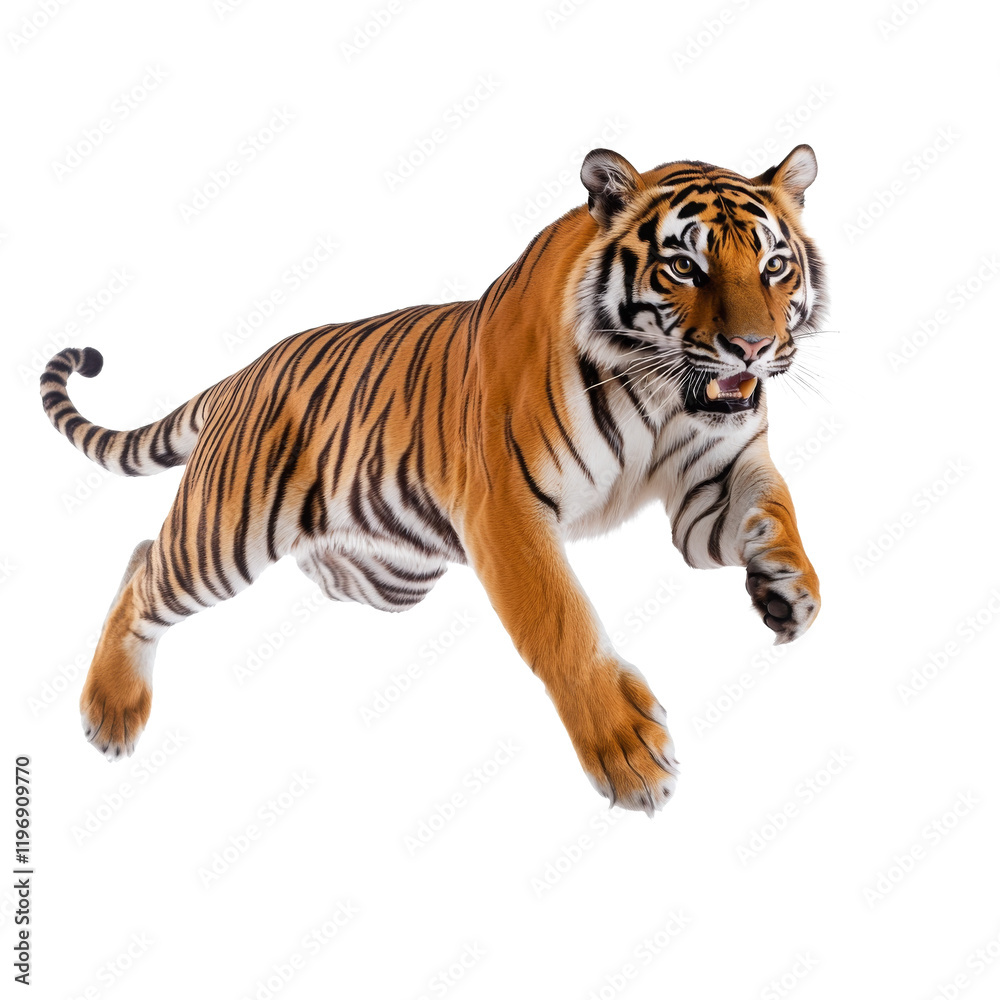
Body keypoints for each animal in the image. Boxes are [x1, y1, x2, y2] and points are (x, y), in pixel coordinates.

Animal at [40, 143, 825, 815]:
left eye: (774, 266)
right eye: (684, 268)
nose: (752, 348)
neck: (662, 393)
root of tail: (241, 373)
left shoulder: (713, 478)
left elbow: (776, 504)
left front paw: (786, 588)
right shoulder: (505, 509)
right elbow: (562, 624)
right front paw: (628, 754)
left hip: (383, 571)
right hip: (226, 532)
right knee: (146, 568)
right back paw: (111, 709)